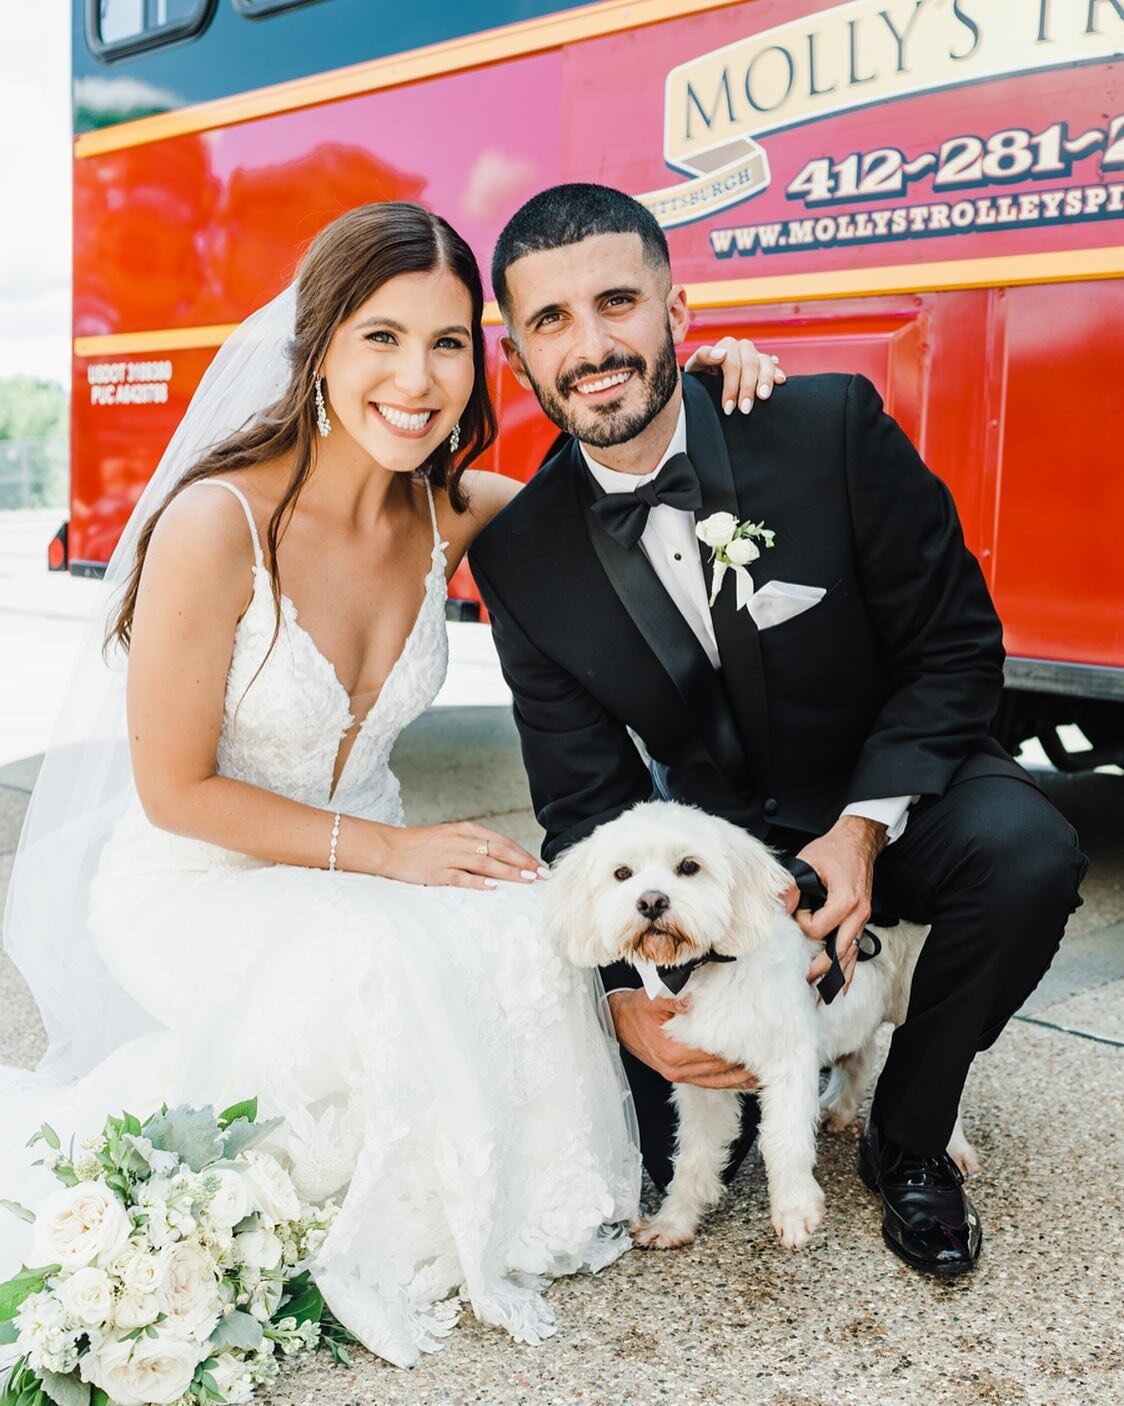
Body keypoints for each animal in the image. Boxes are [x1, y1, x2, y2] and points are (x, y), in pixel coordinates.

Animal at [545, 804, 973, 1254]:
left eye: (689, 866)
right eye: (622, 873)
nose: (651, 902)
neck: (708, 968)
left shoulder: (789, 1059)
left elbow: (783, 1138)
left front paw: (795, 1209)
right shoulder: (701, 1081)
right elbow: (693, 1155)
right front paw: (675, 1220)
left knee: (940, 1073)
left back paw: (950, 1149)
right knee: (860, 1056)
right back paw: (839, 1109)